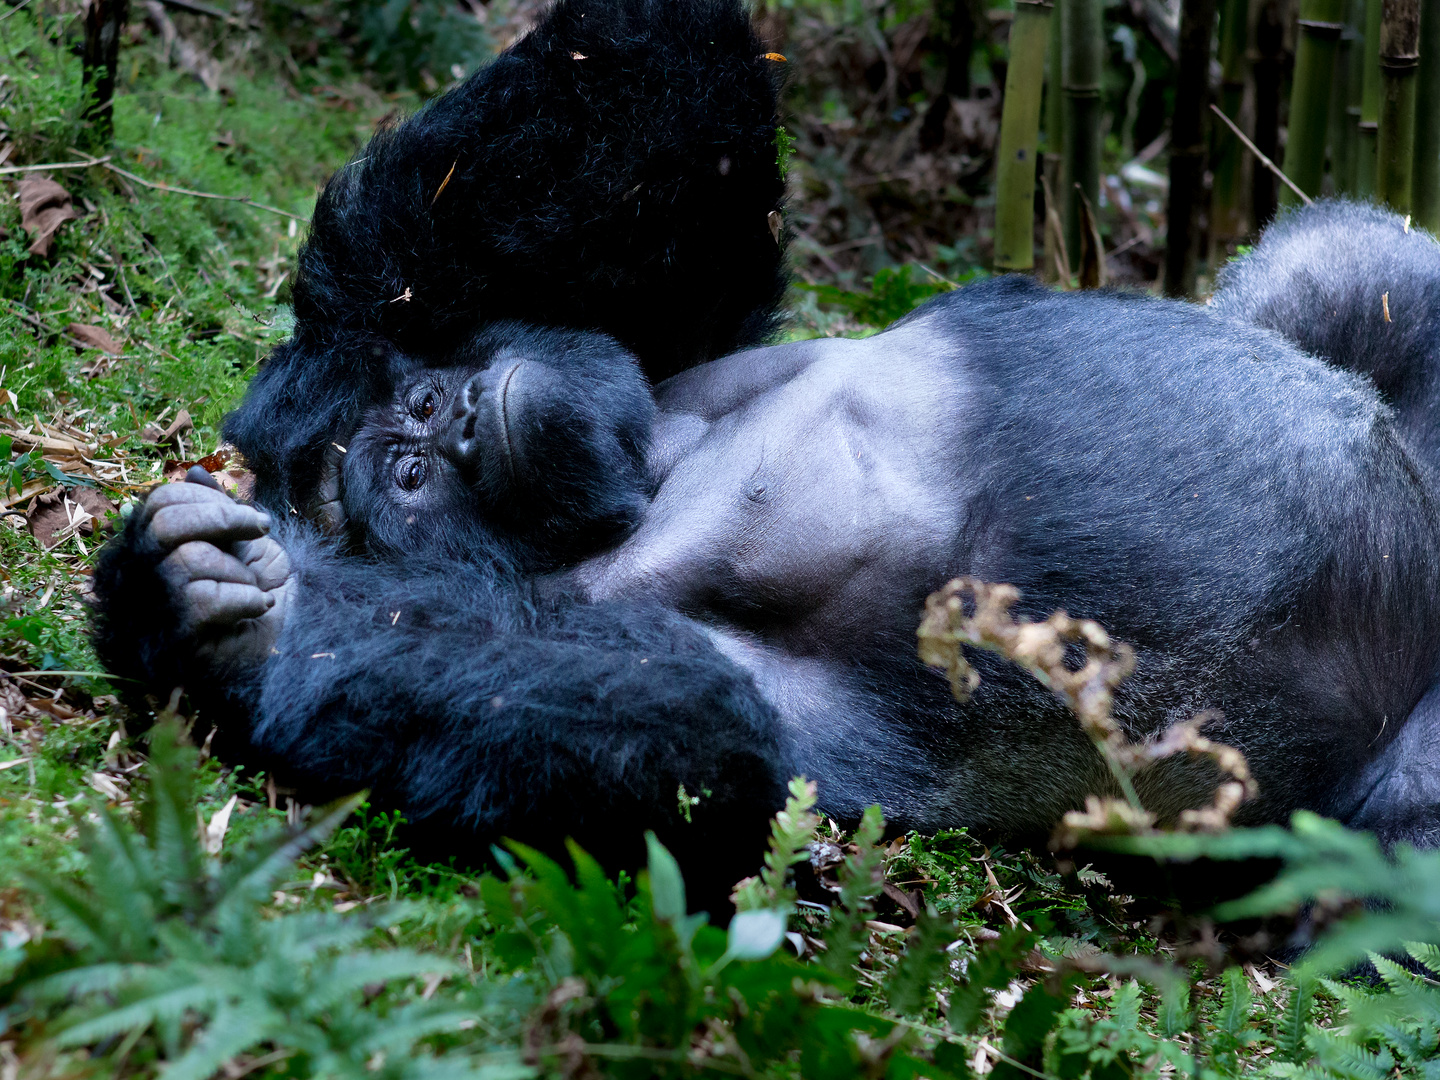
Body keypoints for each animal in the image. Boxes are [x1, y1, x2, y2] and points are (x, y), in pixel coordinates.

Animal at [84, 0, 1440, 904]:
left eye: (424, 403)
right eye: (410, 477)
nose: (453, 420)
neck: (656, 472)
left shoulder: (668, 340)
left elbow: (611, 173)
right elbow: (684, 740)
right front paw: (225, 623)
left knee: (1351, 279)